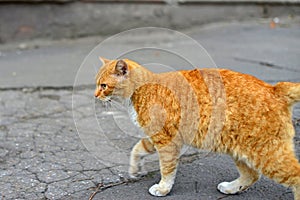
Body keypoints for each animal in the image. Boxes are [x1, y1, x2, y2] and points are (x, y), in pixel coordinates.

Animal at [95, 57, 300, 199]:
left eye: (103, 85)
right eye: (97, 84)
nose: (95, 95)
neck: (143, 88)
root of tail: (275, 88)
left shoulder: (167, 143)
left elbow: (166, 169)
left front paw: (163, 188)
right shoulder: (156, 138)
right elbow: (137, 150)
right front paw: (135, 169)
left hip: (268, 154)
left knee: (295, 175)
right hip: (240, 150)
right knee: (252, 175)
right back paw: (231, 188)